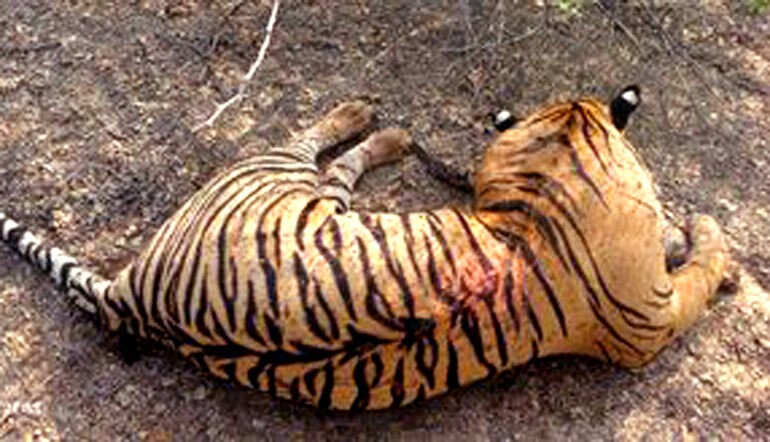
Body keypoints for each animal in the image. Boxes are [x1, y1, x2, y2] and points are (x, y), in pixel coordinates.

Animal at [0, 86, 731, 410]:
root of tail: (136, 297)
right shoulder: (648, 324)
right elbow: (704, 264)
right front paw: (707, 235)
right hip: (269, 170)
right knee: (308, 142)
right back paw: (364, 118)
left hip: (320, 209)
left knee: (339, 174)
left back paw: (387, 135)